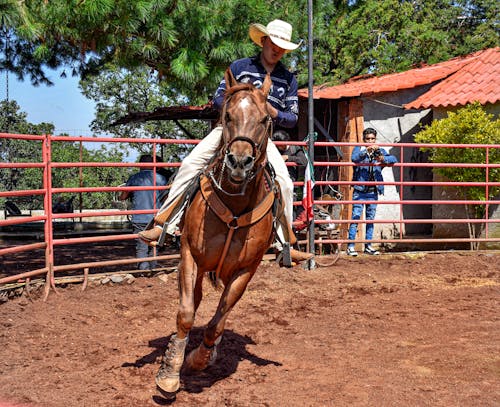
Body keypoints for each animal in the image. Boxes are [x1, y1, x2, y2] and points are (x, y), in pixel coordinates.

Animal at [154, 68, 276, 394]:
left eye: (265, 119)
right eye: (228, 115)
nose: (239, 161)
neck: (234, 203)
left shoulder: (246, 269)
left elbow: (218, 321)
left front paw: (199, 358)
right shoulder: (190, 255)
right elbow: (185, 314)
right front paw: (170, 370)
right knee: (193, 300)